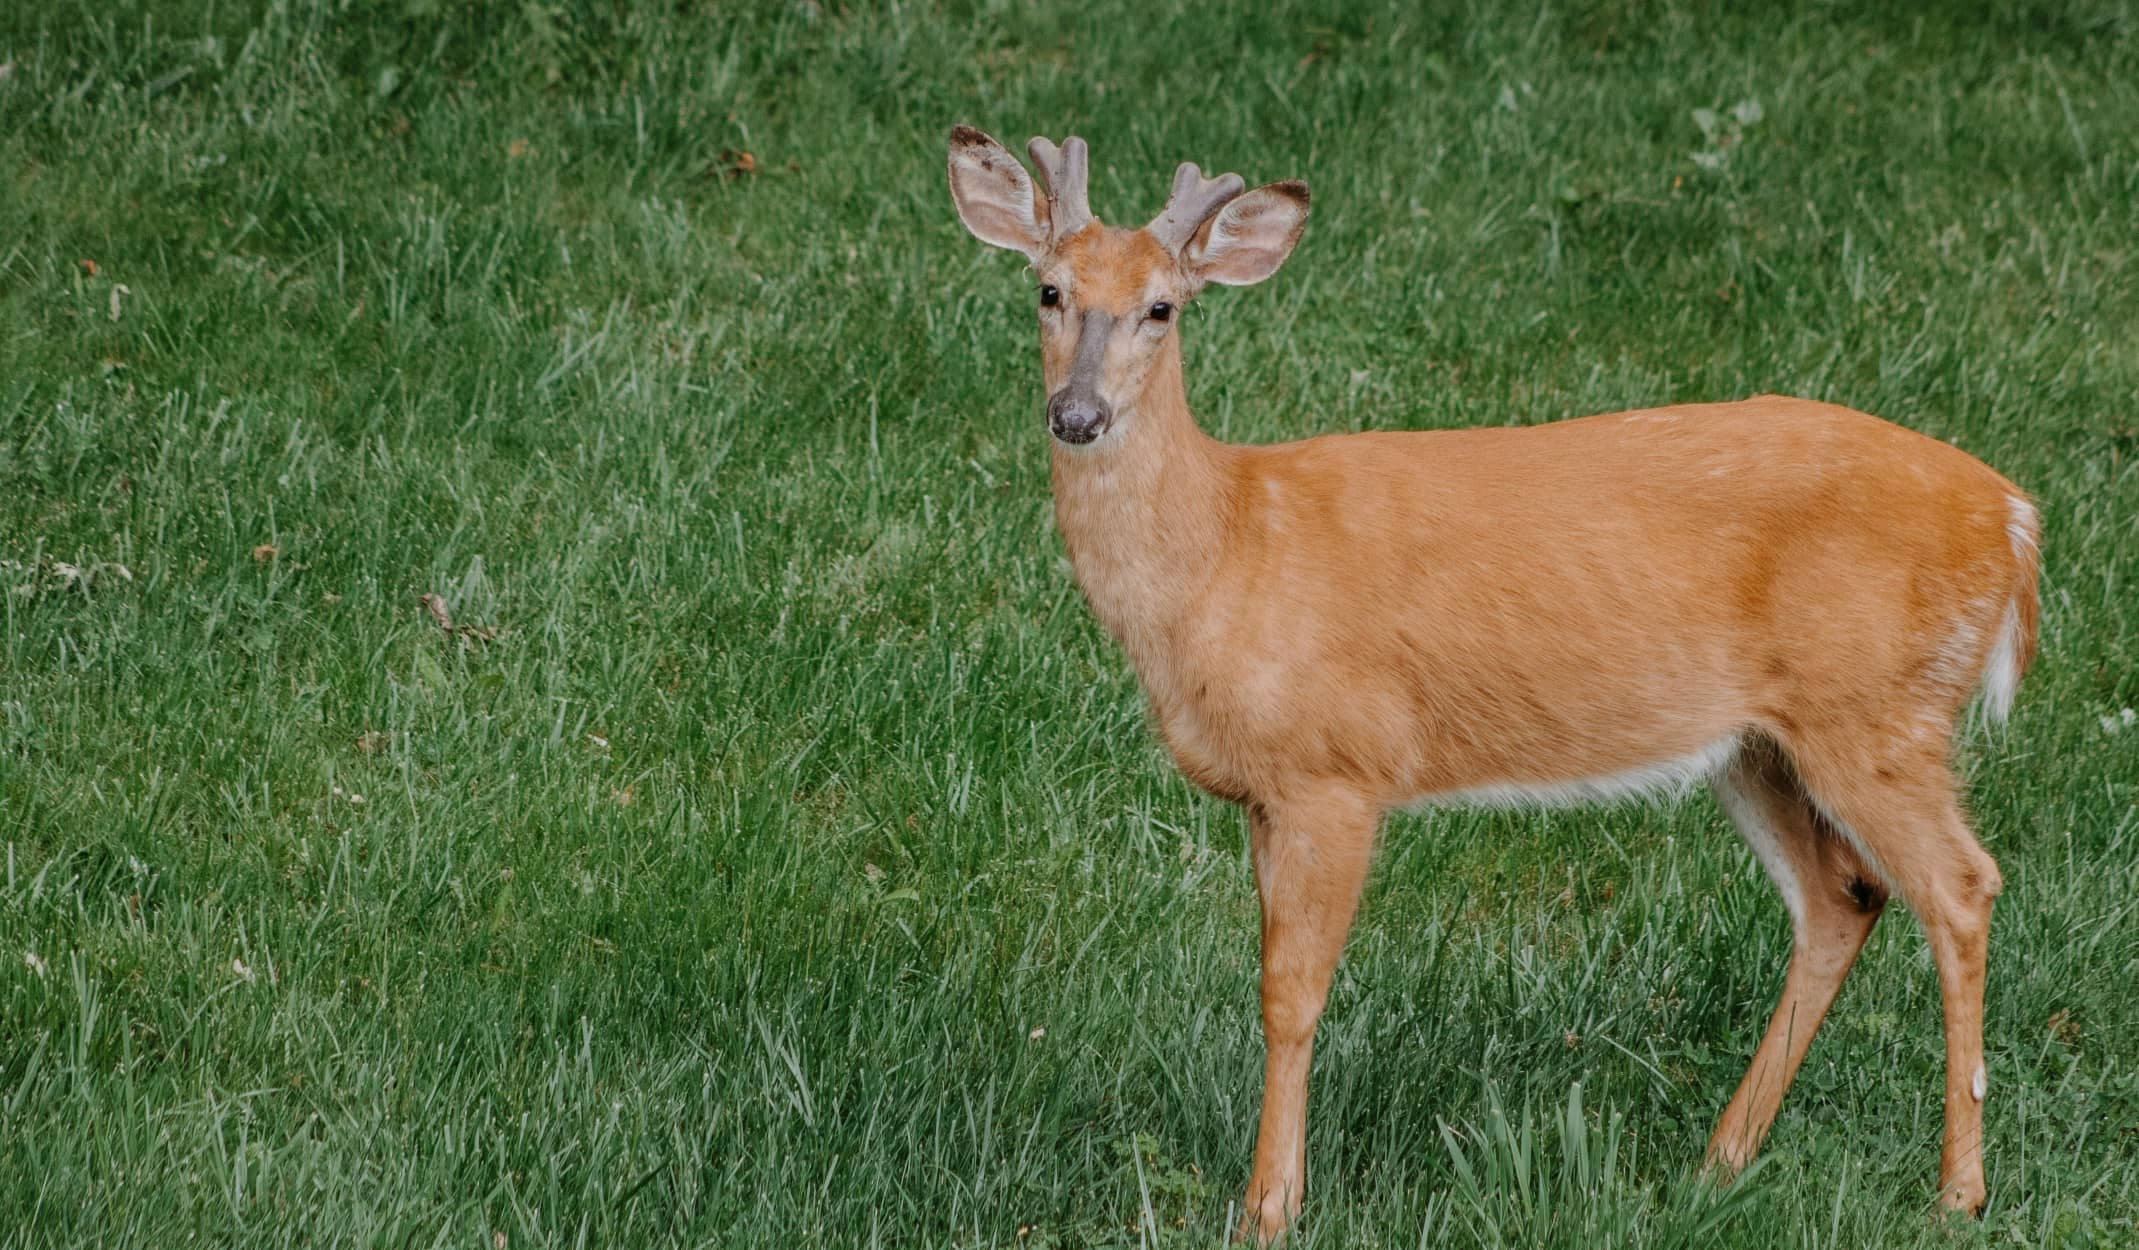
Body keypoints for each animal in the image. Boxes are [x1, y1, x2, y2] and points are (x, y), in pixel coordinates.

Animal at [945, 125, 2041, 1243]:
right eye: (1047, 290)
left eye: (1163, 306)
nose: (1077, 413)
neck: (1226, 545)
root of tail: (2011, 519)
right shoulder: (1262, 793)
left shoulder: (1335, 767)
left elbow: (1290, 994)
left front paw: (1270, 1207)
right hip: (1761, 741)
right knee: (1841, 895)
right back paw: (1719, 1160)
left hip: (1876, 707)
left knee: (1961, 885)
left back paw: (1957, 1189)